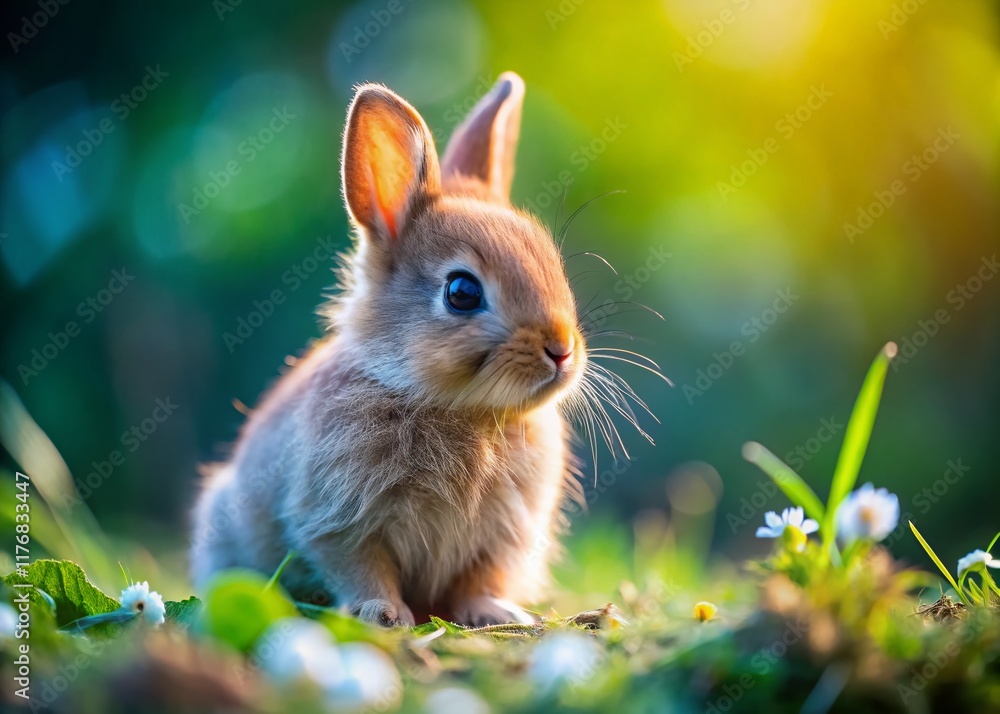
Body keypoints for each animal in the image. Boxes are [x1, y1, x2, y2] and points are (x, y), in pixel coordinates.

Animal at [190, 72, 598, 627]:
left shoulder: (502, 536)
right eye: (462, 292)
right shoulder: (338, 519)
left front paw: (497, 613)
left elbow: (480, 578)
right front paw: (383, 615)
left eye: (553, 265)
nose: (561, 350)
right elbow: (360, 566)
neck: (464, 411)